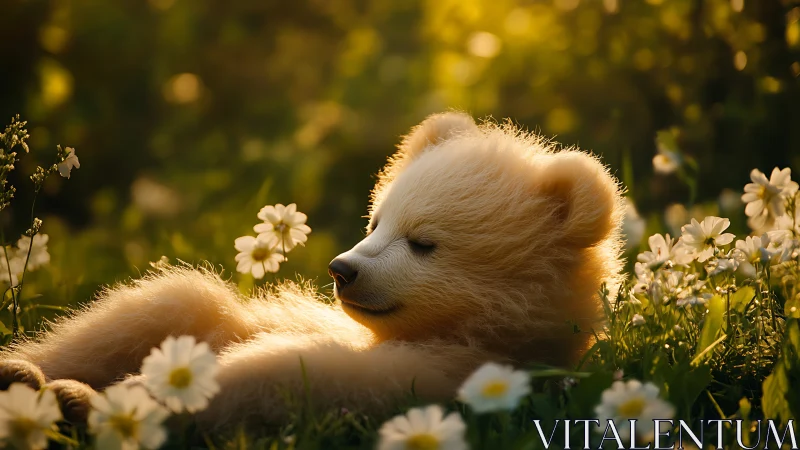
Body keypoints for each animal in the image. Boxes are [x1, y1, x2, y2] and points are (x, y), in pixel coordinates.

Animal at [0, 111, 624, 428]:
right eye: (376, 220)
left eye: (423, 243)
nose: (343, 269)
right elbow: (164, 310)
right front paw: (37, 372)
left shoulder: (432, 373)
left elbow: (274, 371)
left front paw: (100, 400)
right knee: (176, 296)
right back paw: (24, 369)